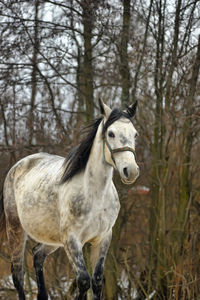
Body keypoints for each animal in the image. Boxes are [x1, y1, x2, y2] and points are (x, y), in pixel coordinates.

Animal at [0, 99, 139, 300]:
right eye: (111, 133)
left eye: (135, 134)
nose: (131, 171)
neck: (94, 195)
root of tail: (18, 166)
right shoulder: (72, 239)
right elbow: (83, 280)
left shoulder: (103, 238)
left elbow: (97, 281)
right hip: (16, 230)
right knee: (17, 273)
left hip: (52, 238)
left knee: (37, 256)